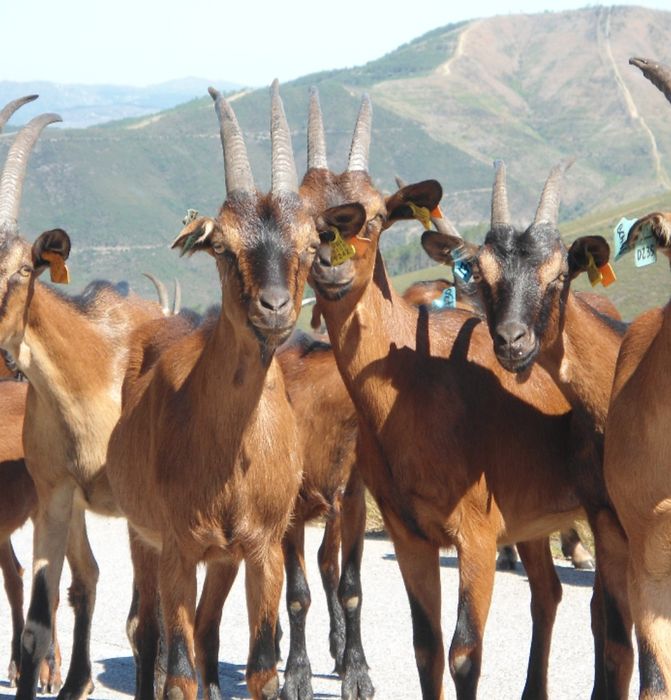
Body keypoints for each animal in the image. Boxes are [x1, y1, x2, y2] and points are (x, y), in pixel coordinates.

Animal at [0, 112, 164, 698]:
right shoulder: (54, 493)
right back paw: (76, 681)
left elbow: (146, 623)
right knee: (87, 578)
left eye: (23, 269)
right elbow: (36, 625)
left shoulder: (144, 512)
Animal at [105, 82, 319, 700]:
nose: (275, 307)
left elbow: (262, 667)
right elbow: (177, 671)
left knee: (204, 627)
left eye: (311, 243)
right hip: (143, 538)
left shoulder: (262, 548)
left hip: (222, 558)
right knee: (146, 627)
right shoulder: (177, 546)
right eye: (221, 245)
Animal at [299, 90, 598, 700]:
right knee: (548, 592)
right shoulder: (410, 535)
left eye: (371, 216)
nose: (329, 267)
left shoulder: (476, 536)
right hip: (533, 517)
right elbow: (425, 648)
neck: (414, 383)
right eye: (302, 211)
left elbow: (464, 652)